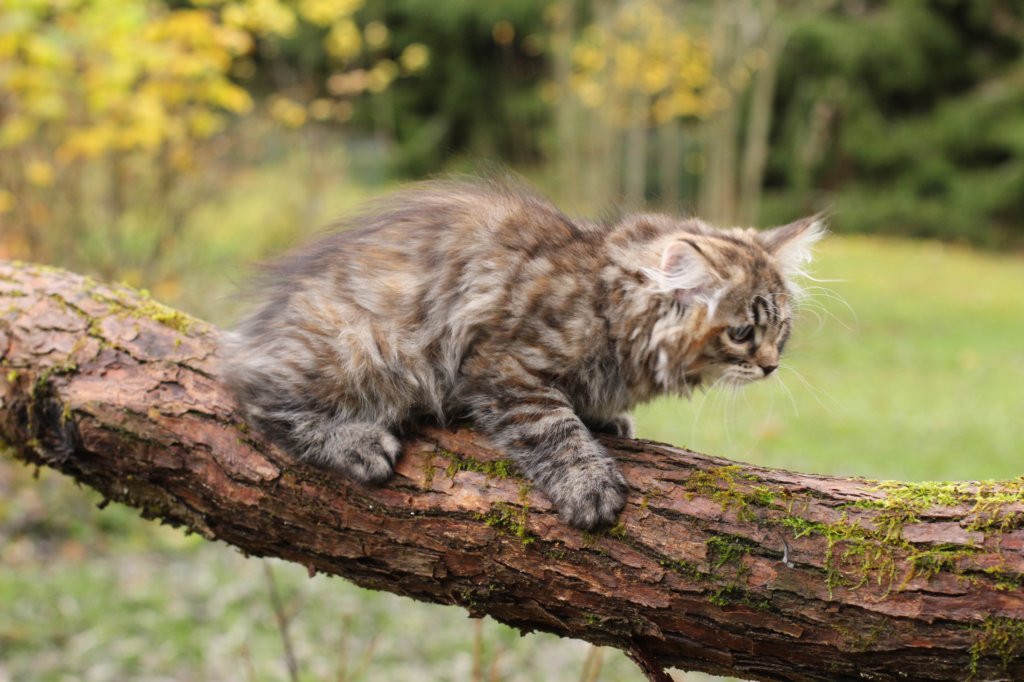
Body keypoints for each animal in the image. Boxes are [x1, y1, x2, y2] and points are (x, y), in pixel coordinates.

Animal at [221, 177, 823, 530]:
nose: (770, 366)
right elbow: (552, 427)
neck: (604, 301)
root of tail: (259, 329)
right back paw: (355, 442)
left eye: (781, 331)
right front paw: (588, 485)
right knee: (254, 393)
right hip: (362, 346)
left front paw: (609, 419)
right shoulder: (503, 368)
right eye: (742, 332)